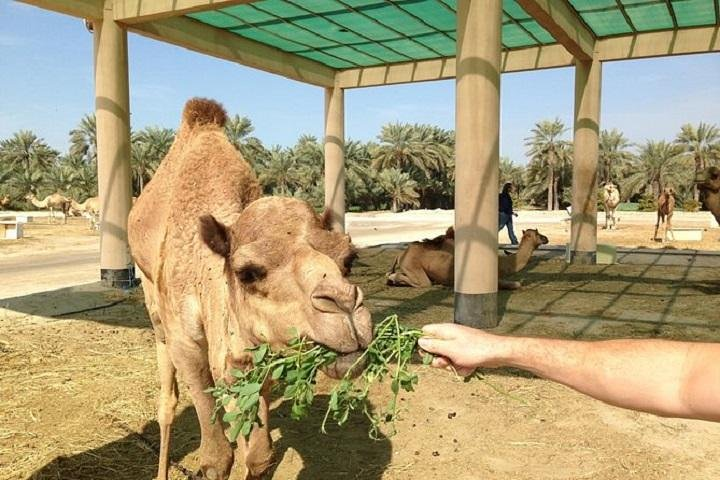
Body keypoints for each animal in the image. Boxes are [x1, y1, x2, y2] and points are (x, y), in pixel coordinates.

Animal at [127, 97, 372, 480]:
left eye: (348, 258)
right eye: (248, 272)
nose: (345, 308)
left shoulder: (258, 353)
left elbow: (257, 453)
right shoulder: (187, 342)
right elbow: (216, 457)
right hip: (153, 303)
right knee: (167, 400)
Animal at [386, 228, 548, 290]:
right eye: (537, 234)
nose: (546, 238)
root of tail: (401, 254)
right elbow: (516, 284)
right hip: (413, 266)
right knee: (422, 282)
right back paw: (394, 280)